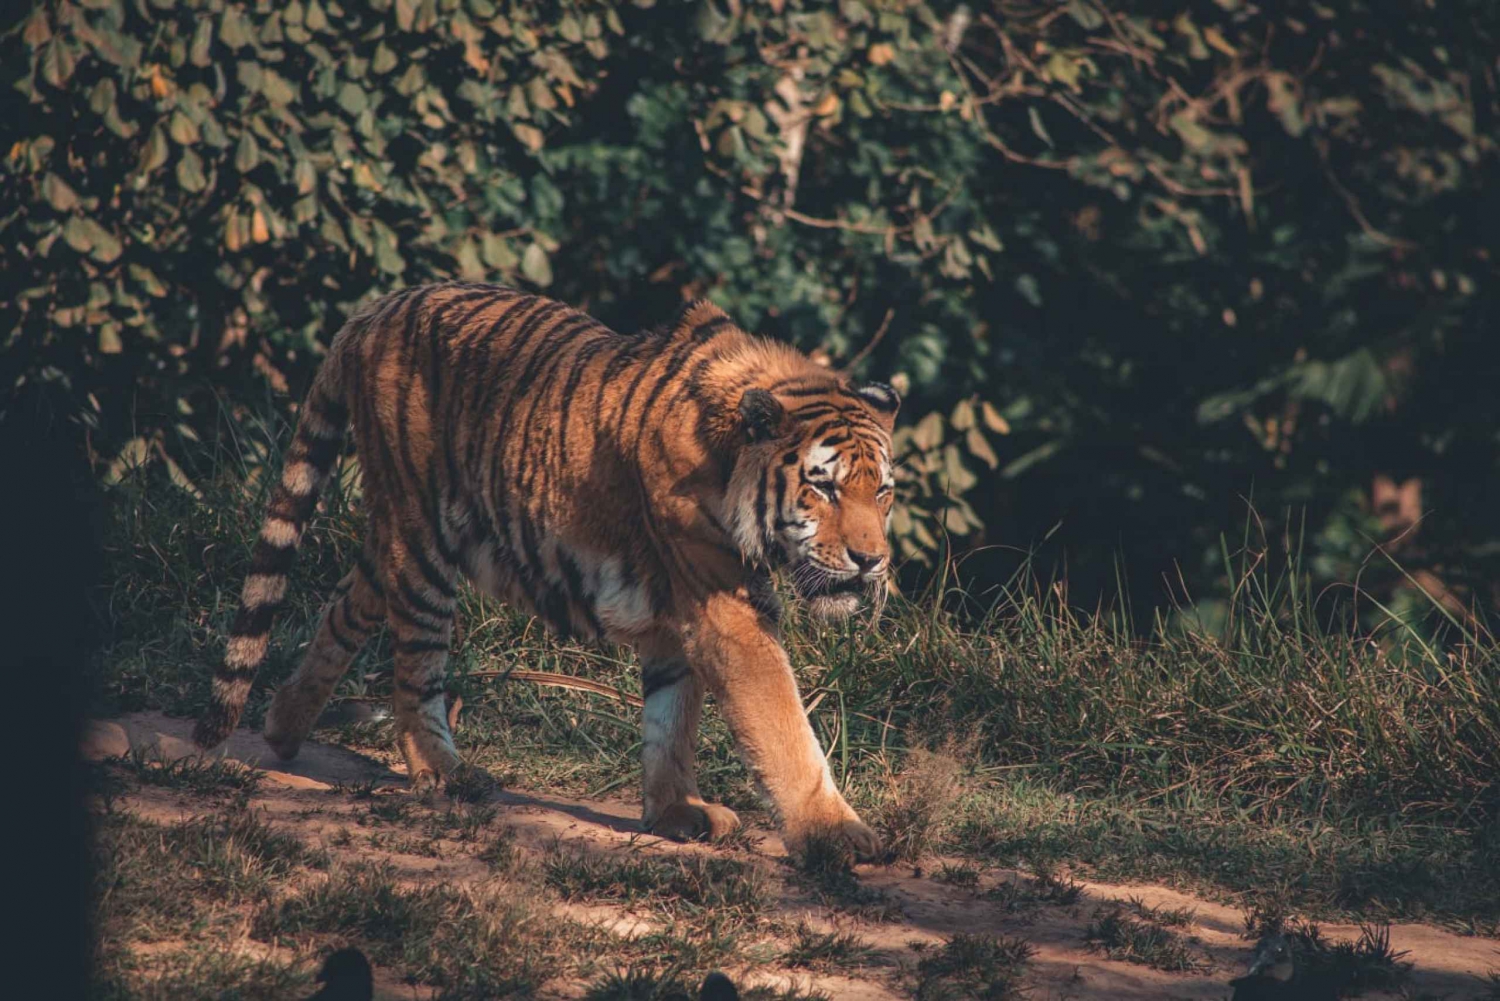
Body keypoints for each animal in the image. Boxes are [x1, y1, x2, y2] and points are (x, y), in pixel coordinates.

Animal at [192, 277, 894, 858]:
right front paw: (836, 834)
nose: (872, 561)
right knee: (415, 668)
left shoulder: (678, 616)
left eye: (882, 492)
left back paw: (283, 728)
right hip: (423, 543)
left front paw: (676, 813)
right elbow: (781, 724)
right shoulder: (724, 608)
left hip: (395, 537)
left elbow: (671, 717)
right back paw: (444, 773)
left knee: (344, 609)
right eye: (824, 487)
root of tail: (376, 309)